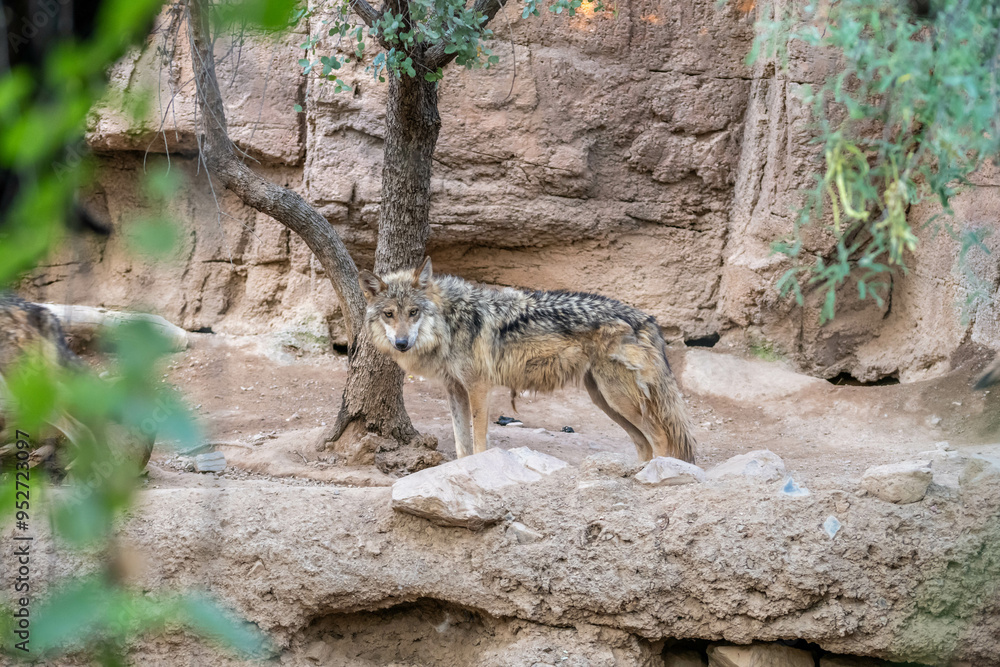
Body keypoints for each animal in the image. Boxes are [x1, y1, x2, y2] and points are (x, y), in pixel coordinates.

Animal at [359, 258, 697, 463]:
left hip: (618, 398)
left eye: (413, 312)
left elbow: (478, 442)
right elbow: (460, 444)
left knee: (662, 439)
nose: (402, 343)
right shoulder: (454, 389)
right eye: (389, 314)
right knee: (643, 443)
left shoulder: (479, 387)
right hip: (605, 399)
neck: (450, 322)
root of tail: (647, 318)